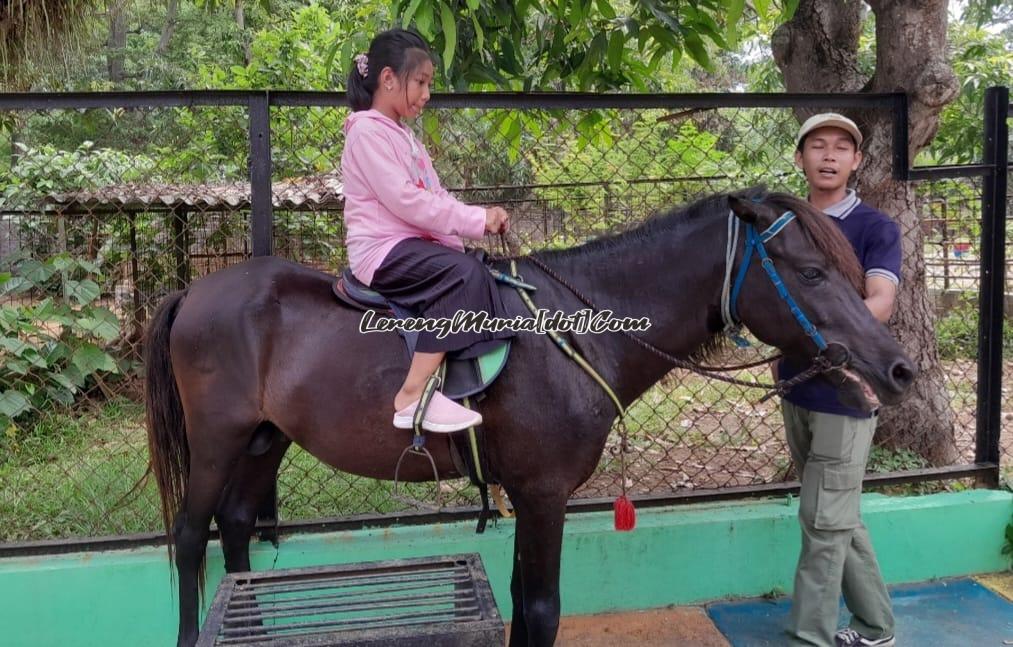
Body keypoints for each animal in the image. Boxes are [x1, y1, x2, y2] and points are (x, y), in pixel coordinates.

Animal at [146, 187, 915, 647]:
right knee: (188, 535)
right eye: (812, 273)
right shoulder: (545, 495)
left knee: (235, 527)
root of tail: (193, 291)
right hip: (217, 439)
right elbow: (542, 609)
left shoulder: (525, 494)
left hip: (265, 439)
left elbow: (521, 598)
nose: (897, 368)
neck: (579, 331)